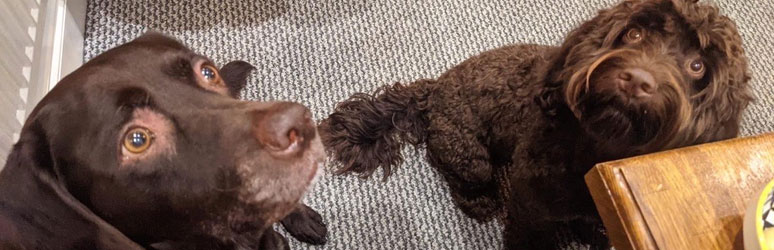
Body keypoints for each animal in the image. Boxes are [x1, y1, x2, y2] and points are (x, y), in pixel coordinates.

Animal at [320, 0, 752, 248]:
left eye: (697, 66)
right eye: (633, 33)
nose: (638, 79)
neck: (595, 152)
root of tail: (433, 89)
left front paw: (589, 233)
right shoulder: (530, 208)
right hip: (468, 155)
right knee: (454, 171)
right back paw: (478, 200)